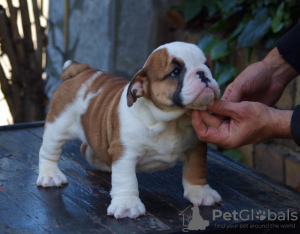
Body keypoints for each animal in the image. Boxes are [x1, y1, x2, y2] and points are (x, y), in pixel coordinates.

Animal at [36, 41, 221, 219]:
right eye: (175, 72)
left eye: (207, 65)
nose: (202, 73)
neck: (171, 121)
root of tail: (81, 70)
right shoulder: (125, 153)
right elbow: (126, 180)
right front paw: (127, 205)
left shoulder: (196, 146)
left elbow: (196, 169)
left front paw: (201, 192)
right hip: (58, 125)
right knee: (49, 151)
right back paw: (50, 175)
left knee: (87, 148)